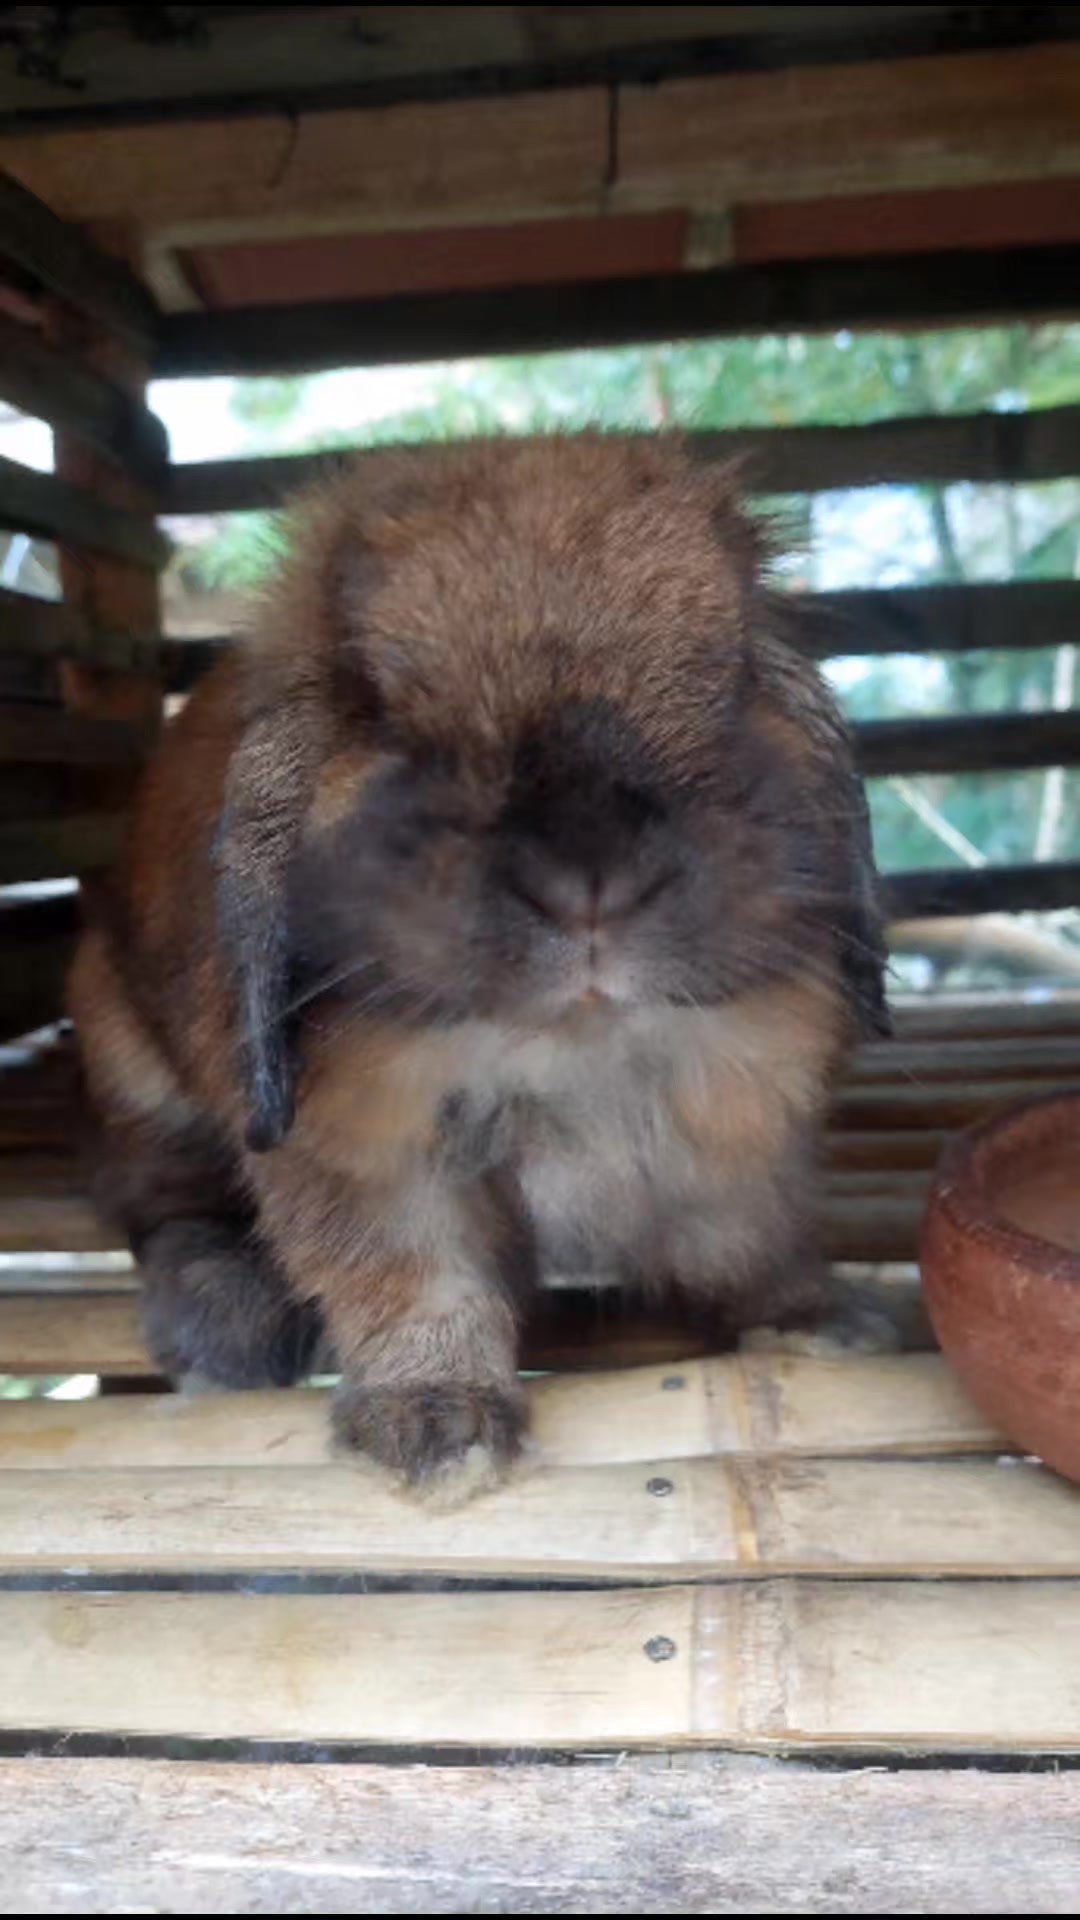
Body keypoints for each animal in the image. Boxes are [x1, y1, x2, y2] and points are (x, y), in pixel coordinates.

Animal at [68, 434, 890, 1494]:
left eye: (732, 675)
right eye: (383, 713)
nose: (591, 875)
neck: (574, 1048)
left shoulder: (742, 1128)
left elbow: (753, 1243)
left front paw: (824, 1323)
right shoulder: (357, 1152)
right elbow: (412, 1276)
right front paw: (438, 1431)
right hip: (128, 1060)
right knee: (161, 1199)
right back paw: (222, 1332)